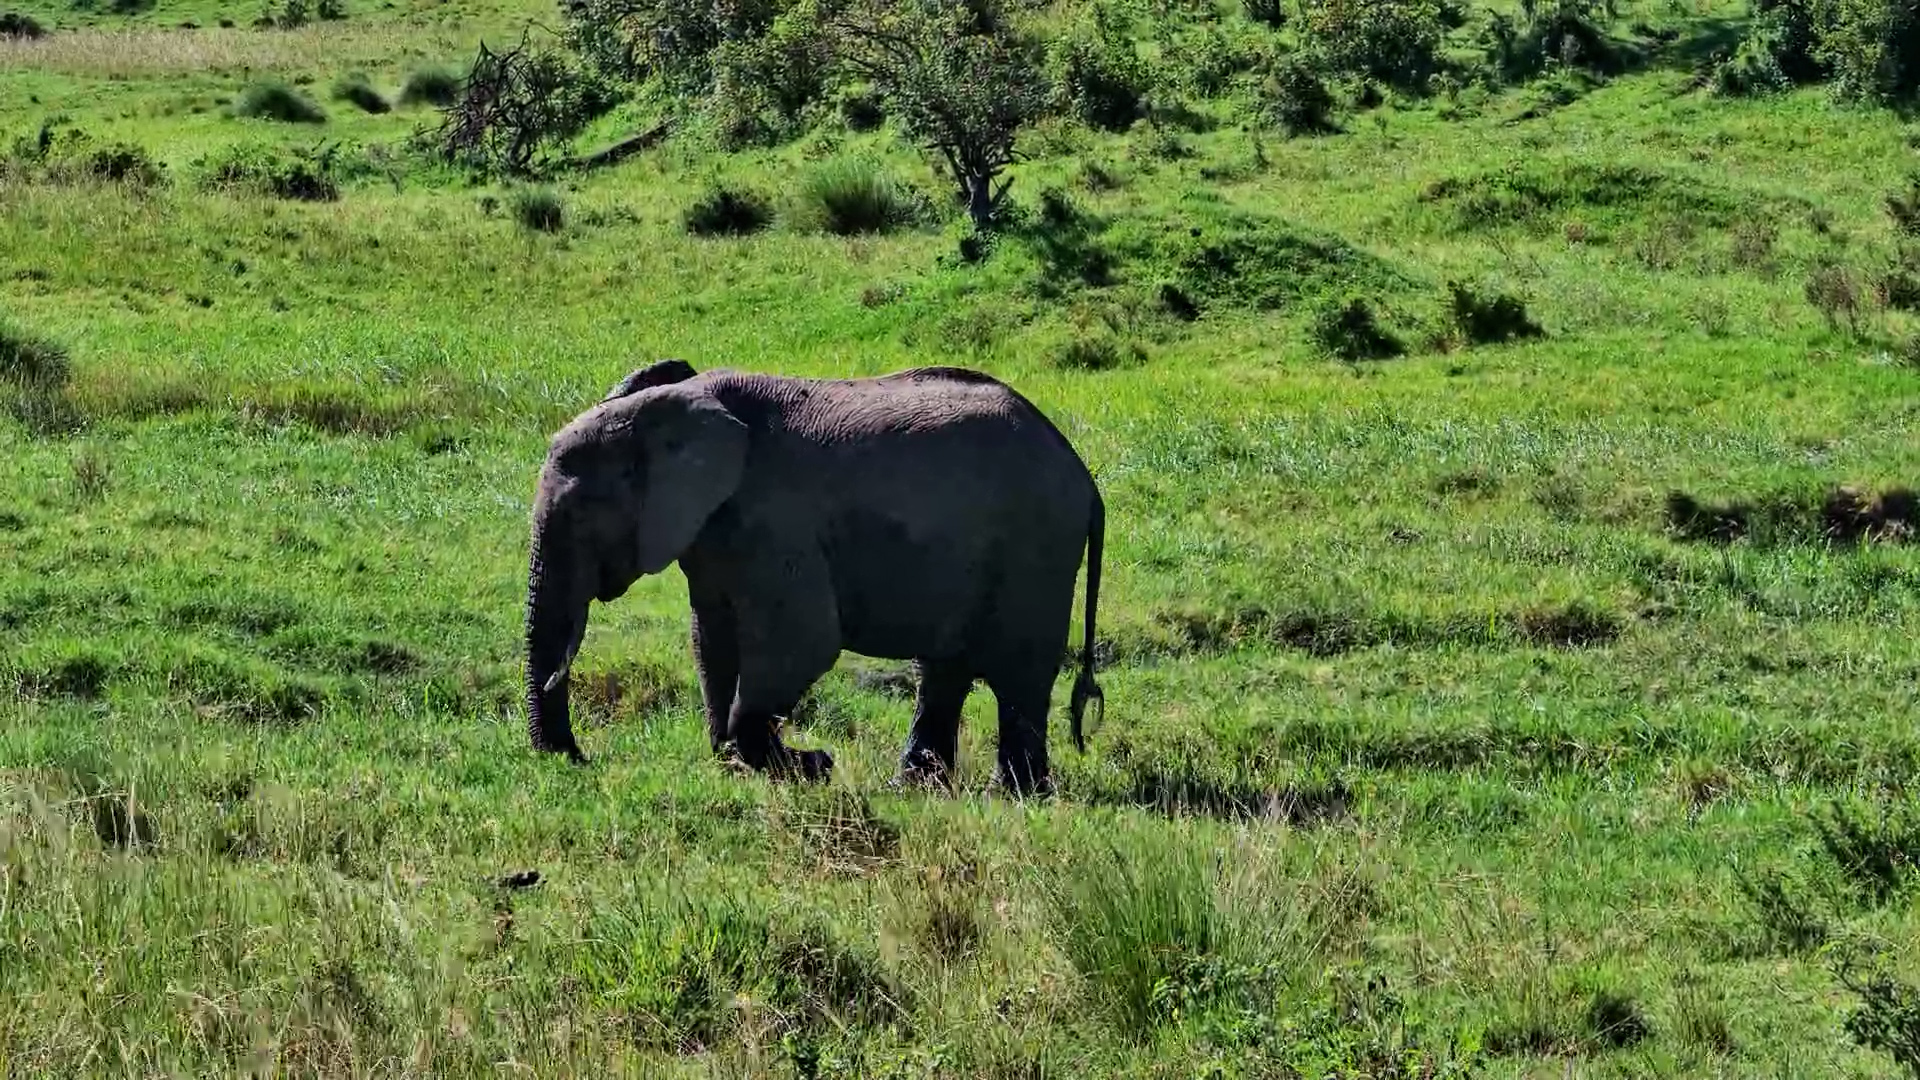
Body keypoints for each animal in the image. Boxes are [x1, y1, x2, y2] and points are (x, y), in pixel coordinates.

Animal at [522, 359, 1106, 795]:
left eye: (580, 514)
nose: (577, 757)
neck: (670, 404)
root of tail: (1082, 473)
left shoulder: (775, 520)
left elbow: (802, 641)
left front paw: (810, 765)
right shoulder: (711, 532)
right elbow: (711, 640)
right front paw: (739, 766)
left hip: (1038, 543)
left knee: (1018, 673)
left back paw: (1014, 797)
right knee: (945, 670)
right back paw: (914, 790)